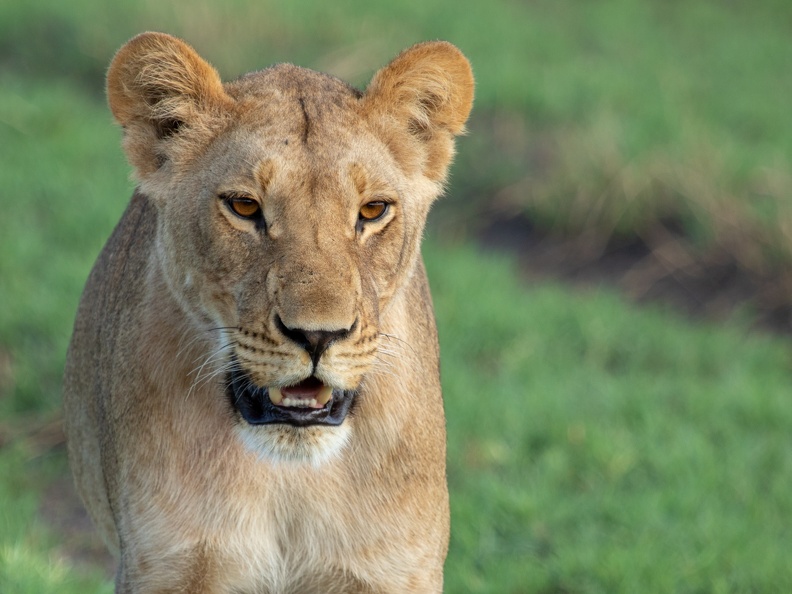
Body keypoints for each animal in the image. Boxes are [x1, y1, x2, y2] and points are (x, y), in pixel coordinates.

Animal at [63, 32, 473, 593]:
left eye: (372, 211)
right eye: (243, 207)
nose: (318, 337)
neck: (291, 478)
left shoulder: (394, 570)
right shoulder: (164, 565)